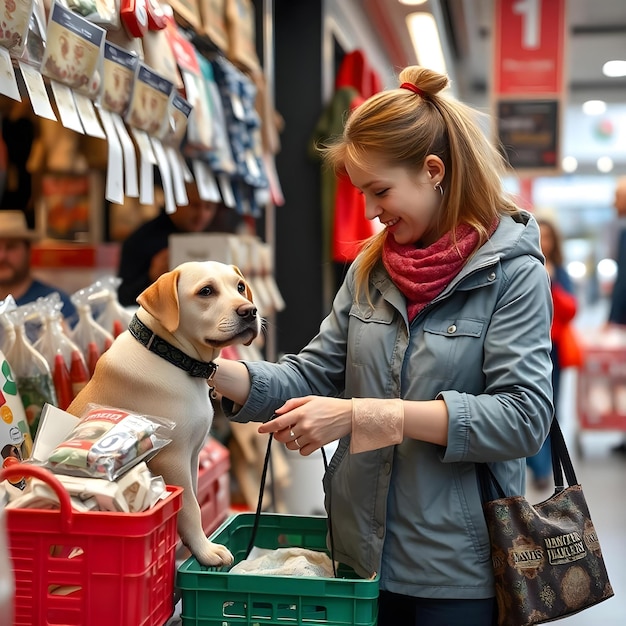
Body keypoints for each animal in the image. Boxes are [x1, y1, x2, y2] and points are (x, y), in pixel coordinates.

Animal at [69, 260, 260, 564]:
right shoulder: (172, 459)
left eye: (240, 287)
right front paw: (206, 551)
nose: (250, 311)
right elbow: (191, 507)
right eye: (206, 291)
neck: (170, 356)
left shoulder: (192, 456)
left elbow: (193, 499)